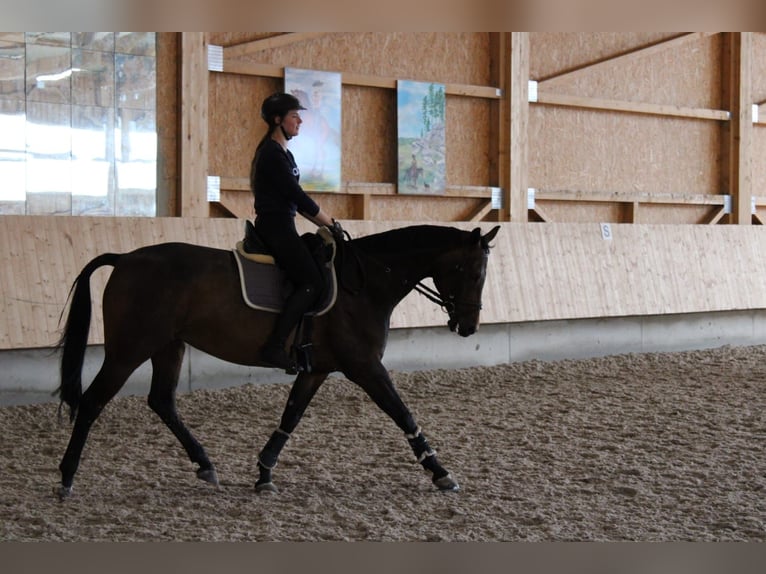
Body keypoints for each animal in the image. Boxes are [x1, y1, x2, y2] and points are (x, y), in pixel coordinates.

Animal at [54, 223, 504, 502]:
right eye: (472, 272)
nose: (468, 327)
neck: (364, 283)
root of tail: (126, 258)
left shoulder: (317, 369)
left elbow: (291, 417)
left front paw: (264, 473)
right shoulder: (365, 367)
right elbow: (403, 414)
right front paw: (440, 472)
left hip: (168, 346)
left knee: (162, 401)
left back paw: (206, 465)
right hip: (129, 348)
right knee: (93, 402)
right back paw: (66, 478)